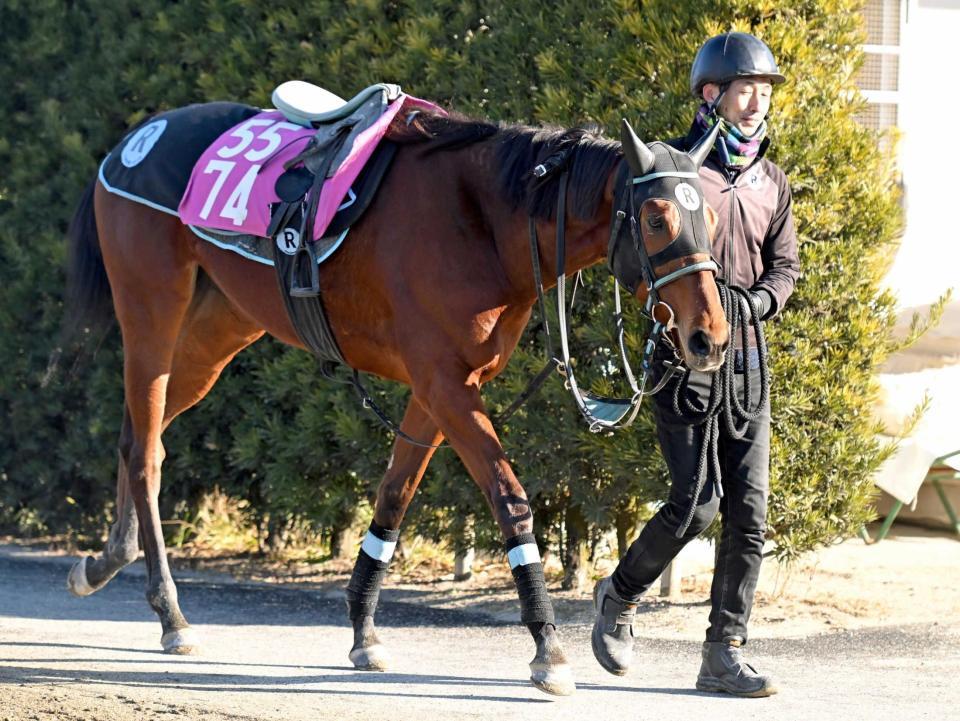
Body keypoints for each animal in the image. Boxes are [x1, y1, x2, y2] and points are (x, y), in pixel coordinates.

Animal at [63, 100, 728, 692]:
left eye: (713, 221)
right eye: (657, 219)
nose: (710, 336)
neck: (481, 219)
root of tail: (135, 140)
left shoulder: (442, 387)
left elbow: (394, 496)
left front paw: (364, 630)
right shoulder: (444, 383)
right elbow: (509, 500)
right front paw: (548, 648)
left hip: (218, 329)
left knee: (138, 435)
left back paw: (107, 558)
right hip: (151, 313)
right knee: (145, 451)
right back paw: (170, 612)